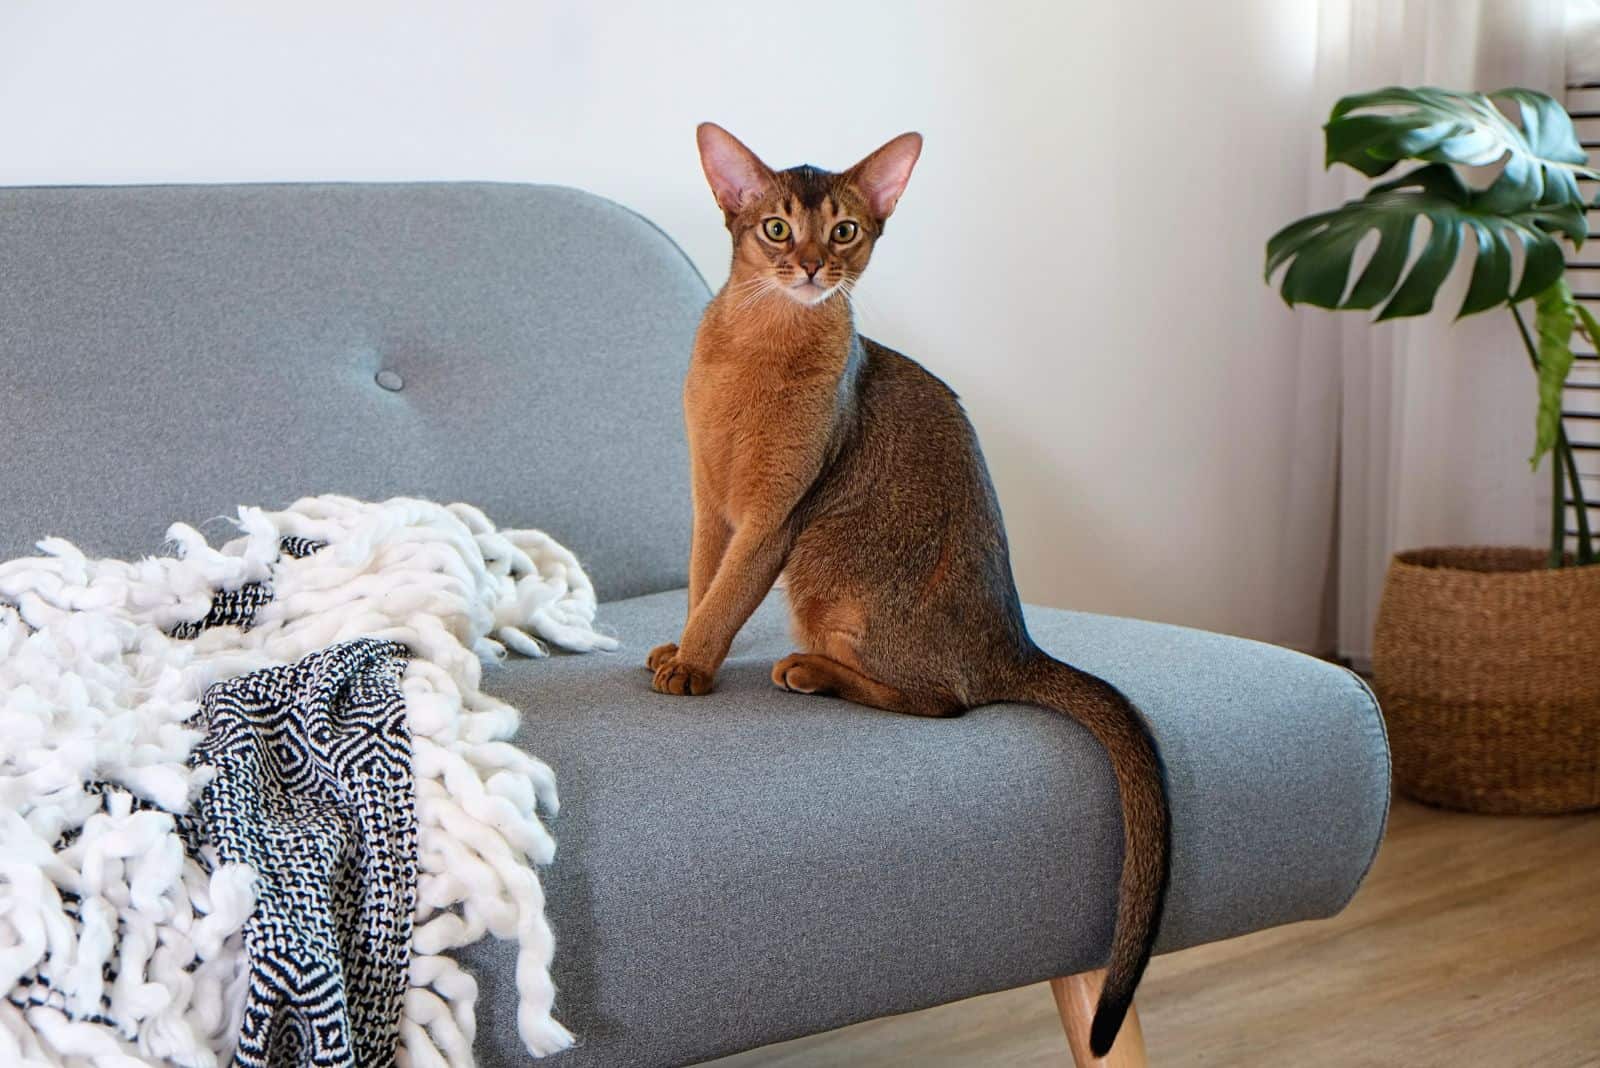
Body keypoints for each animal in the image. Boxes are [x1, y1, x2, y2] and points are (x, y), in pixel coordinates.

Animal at [649, 123, 1177, 1048]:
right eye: (777, 229)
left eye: (845, 231)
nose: (813, 268)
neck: (758, 342)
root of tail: (1016, 644)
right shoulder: (710, 506)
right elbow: (700, 585)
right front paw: (681, 646)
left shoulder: (775, 517)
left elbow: (727, 598)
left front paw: (694, 663)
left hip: (826, 569)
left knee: (945, 703)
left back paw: (813, 672)